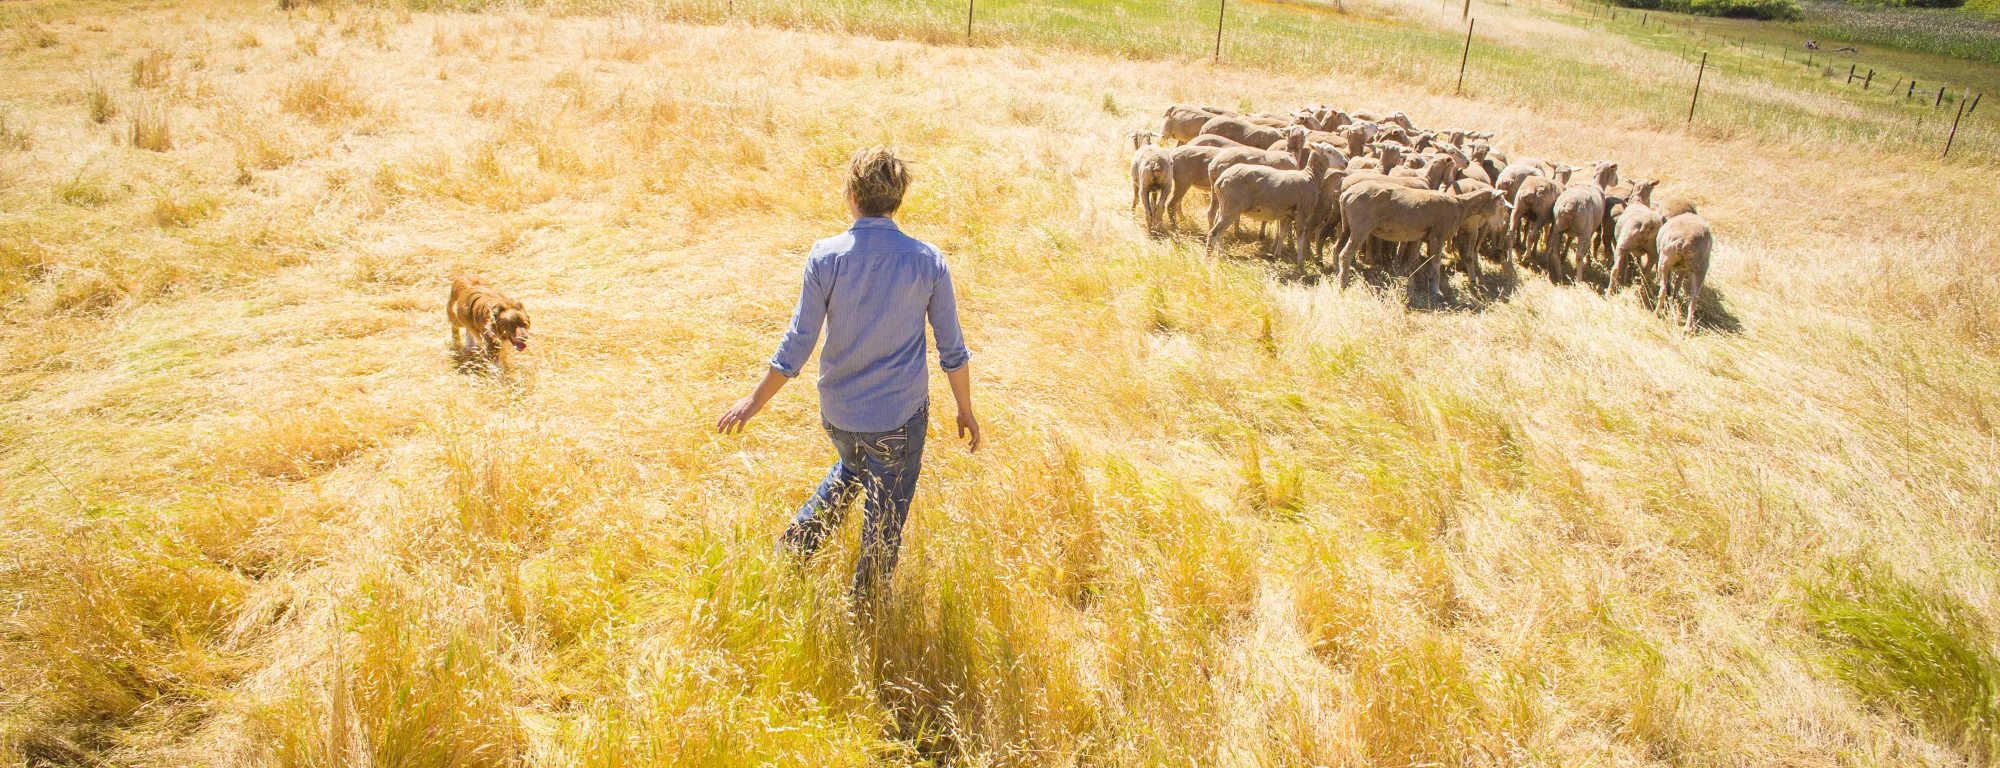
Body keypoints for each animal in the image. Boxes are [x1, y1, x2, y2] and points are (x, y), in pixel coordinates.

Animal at [1207, 146, 1341, 273]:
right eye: (1330, 151)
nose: (1345, 163)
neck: (1311, 176)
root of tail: (1220, 180)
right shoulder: (1301, 215)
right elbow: (1300, 239)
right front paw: (1300, 265)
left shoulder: (1285, 215)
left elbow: (1281, 233)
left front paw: (1276, 255)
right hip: (1232, 207)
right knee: (1214, 232)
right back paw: (1209, 257)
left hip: (1224, 206)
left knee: (1217, 227)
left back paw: (1221, 255)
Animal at [1335, 181, 1507, 300]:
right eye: (1501, 204)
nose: (1501, 226)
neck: (1460, 206)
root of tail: (1345, 195)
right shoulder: (1438, 235)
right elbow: (1435, 263)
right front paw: (1436, 291)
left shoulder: (1420, 235)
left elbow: (1413, 258)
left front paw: (1400, 275)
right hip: (1361, 227)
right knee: (1346, 254)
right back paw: (1343, 285)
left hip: (1347, 226)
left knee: (1337, 249)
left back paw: (1337, 273)